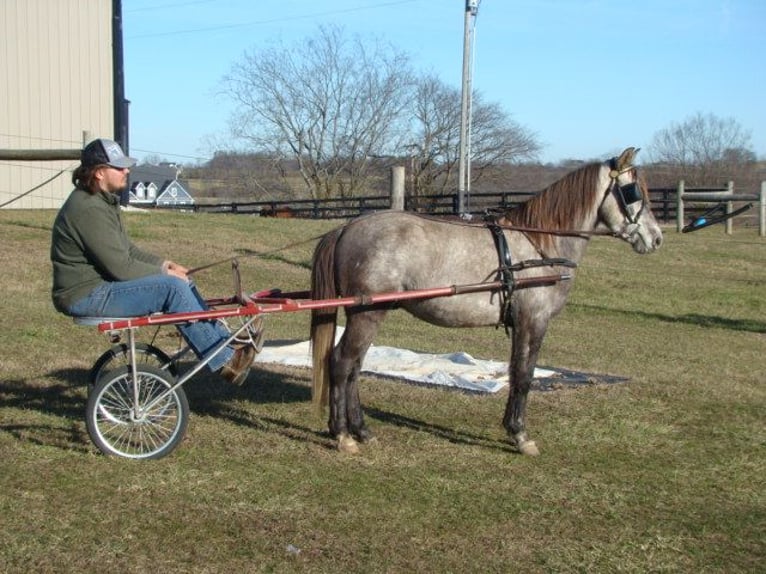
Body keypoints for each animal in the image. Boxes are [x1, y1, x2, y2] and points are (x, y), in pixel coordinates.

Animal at [308, 148, 664, 460]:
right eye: (633, 192)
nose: (657, 238)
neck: (540, 243)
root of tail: (346, 227)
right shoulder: (533, 320)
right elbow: (524, 374)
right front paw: (520, 435)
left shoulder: (522, 322)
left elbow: (517, 371)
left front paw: (512, 428)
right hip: (367, 313)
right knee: (342, 363)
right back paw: (343, 435)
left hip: (367, 313)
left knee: (354, 367)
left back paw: (361, 430)